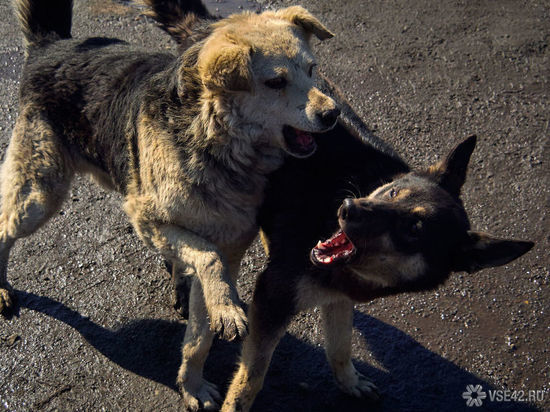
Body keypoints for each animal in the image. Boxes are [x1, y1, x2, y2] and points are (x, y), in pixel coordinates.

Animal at [0, 0, 340, 408]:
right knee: (4, 229)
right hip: (38, 195)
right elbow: (207, 258)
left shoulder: (229, 244)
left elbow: (200, 333)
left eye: (311, 69)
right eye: (276, 83)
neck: (212, 136)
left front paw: (192, 381)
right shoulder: (148, 221)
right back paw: (1, 288)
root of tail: (51, 45)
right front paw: (226, 310)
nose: (333, 113)